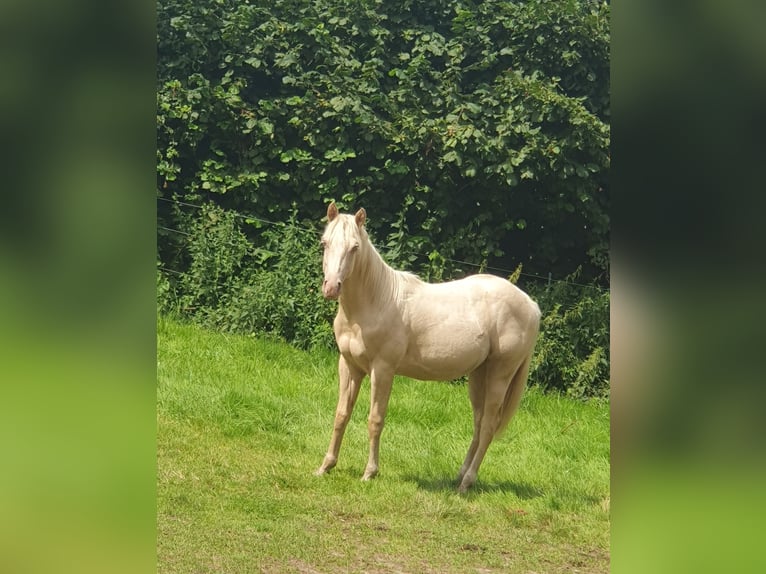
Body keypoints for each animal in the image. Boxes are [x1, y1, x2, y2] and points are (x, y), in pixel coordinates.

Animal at [316, 204, 544, 496]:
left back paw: (466, 483)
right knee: (479, 423)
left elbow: (375, 420)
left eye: (355, 247)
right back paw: (460, 476)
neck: (375, 301)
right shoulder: (350, 366)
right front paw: (326, 466)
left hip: (499, 376)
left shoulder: (383, 369)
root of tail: (531, 305)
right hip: (479, 375)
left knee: (489, 426)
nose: (332, 287)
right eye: (325, 243)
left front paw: (369, 473)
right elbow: (341, 415)